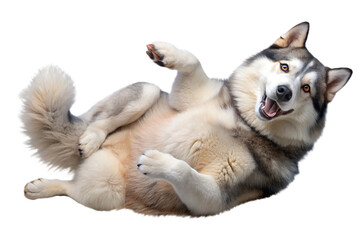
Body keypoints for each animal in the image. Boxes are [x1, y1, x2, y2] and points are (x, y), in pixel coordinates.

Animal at [21, 22, 352, 217]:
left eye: (307, 89)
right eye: (285, 67)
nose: (284, 92)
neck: (241, 121)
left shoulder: (214, 199)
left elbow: (189, 175)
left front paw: (159, 163)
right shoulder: (185, 99)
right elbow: (193, 63)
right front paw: (168, 53)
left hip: (107, 192)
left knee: (72, 189)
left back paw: (43, 187)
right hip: (147, 93)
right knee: (102, 120)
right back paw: (90, 138)